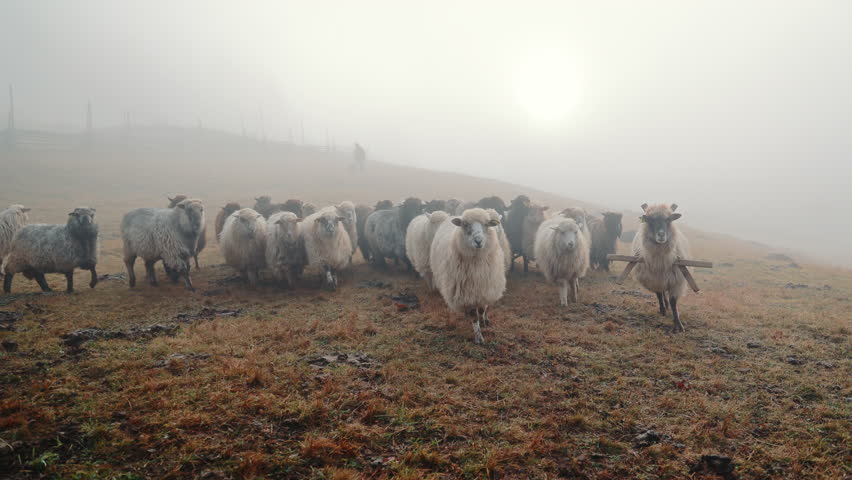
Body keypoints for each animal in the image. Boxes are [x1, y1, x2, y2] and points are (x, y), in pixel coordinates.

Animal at [430, 208, 506, 344]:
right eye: (465, 224)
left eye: (486, 224)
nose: (478, 241)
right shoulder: (466, 292)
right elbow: (473, 316)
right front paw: (479, 338)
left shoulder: (484, 289)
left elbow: (482, 309)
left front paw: (483, 321)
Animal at [631, 203, 690, 332]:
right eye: (651, 220)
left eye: (668, 220)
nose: (661, 234)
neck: (660, 260)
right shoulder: (653, 279)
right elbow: (658, 294)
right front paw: (662, 310)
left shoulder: (676, 280)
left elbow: (673, 302)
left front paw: (678, 325)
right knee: (662, 292)